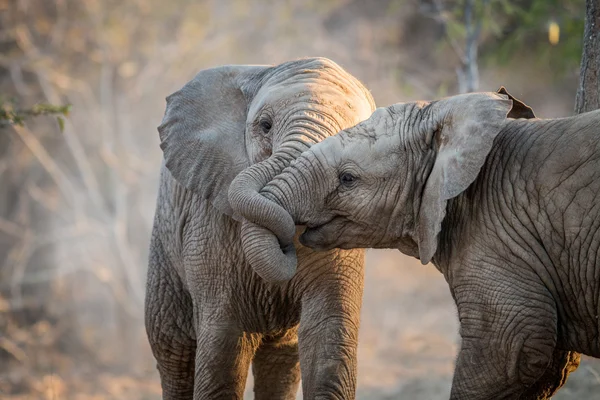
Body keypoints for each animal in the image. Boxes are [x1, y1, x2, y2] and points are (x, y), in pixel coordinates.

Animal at [144, 57, 376, 400]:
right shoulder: (208, 226)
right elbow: (224, 344)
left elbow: (328, 336)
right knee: (174, 352)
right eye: (265, 126)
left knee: (281, 359)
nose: (286, 243)